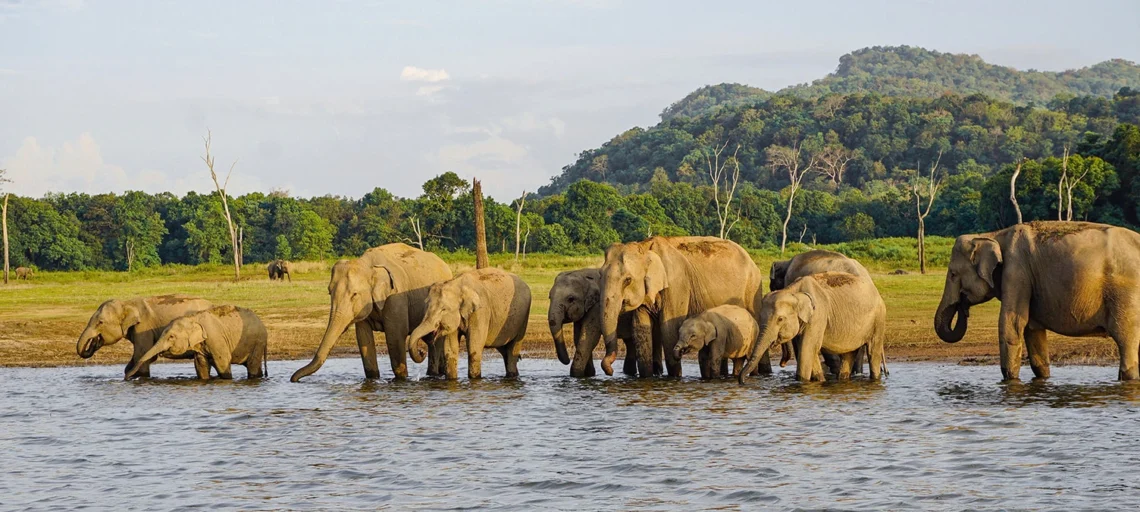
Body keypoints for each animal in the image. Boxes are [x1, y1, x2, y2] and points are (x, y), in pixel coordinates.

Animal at [125, 306, 268, 380]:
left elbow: (223, 361)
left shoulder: (216, 338)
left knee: (252, 364)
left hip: (258, 342)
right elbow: (201, 364)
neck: (192, 318)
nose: (127, 377)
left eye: (171, 337)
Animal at [291, 243, 452, 382]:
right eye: (329, 292)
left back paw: (434, 373)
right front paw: (373, 379)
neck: (367, 265)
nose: (293, 379)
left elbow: (395, 337)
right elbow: (363, 339)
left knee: (434, 340)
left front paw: (401, 380)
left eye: (354, 294)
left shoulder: (396, 297)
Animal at [599, 236, 773, 378]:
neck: (644, 246)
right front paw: (646, 378)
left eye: (627, 280)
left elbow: (668, 328)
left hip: (753, 288)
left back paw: (763, 374)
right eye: (600, 275)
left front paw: (675, 378)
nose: (611, 371)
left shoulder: (677, 285)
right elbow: (640, 328)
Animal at [741, 271, 887, 383]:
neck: (793, 291)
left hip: (878, 320)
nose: (742, 381)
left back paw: (875, 379)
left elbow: (807, 349)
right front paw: (820, 380)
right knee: (849, 354)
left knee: (873, 352)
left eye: (780, 319)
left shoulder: (818, 315)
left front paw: (803, 383)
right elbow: (809, 350)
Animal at [934, 221, 1140, 381]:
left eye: (953, 274)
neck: (992, 235)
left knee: (1125, 337)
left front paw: (1010, 380)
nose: (964, 307)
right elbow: (1032, 329)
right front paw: (1043, 379)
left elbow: (1012, 323)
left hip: (1125, 295)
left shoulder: (1016, 272)